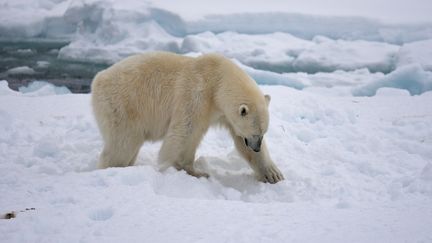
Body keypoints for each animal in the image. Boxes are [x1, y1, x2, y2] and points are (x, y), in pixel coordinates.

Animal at [92, 52, 284, 183]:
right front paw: (190, 171)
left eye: (263, 133)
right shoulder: (196, 95)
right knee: (123, 144)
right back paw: (112, 168)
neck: (217, 79)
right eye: (254, 133)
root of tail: (97, 79)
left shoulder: (223, 113)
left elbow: (237, 139)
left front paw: (273, 174)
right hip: (123, 105)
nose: (256, 147)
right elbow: (185, 131)